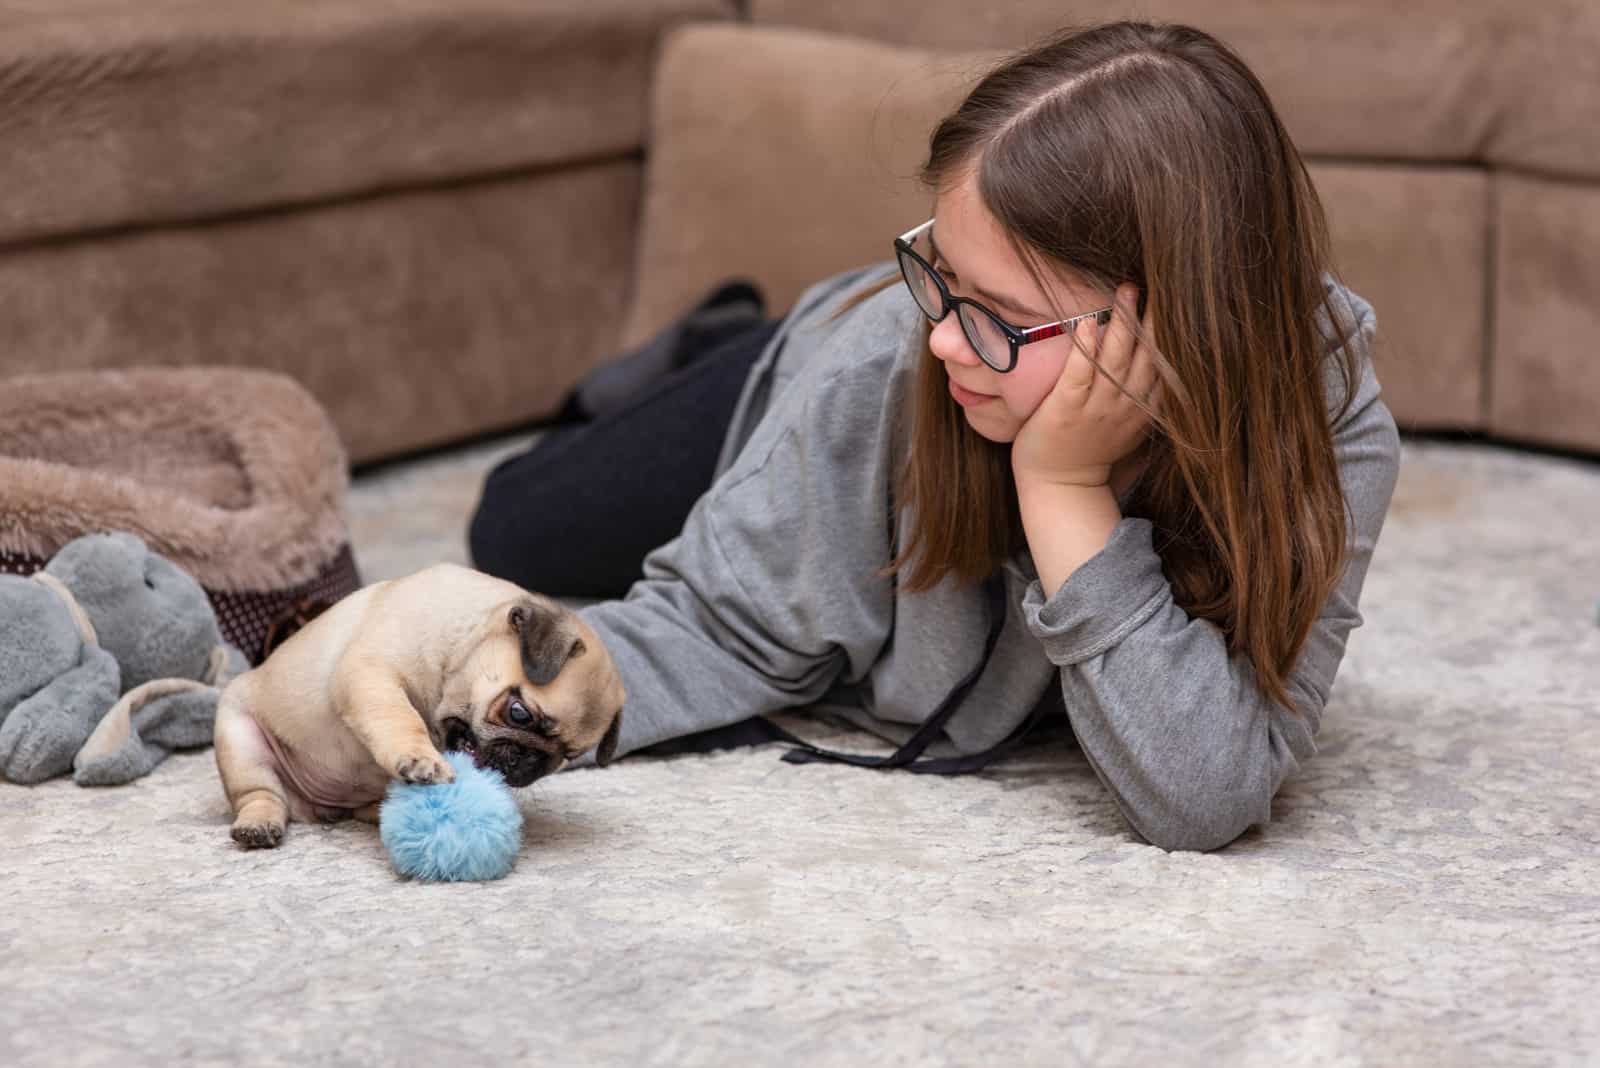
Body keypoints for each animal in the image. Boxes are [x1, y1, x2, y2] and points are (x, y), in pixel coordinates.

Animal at [206, 562, 617, 844]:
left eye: (568, 755)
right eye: (519, 713)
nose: (527, 759)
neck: (461, 639)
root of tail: (318, 808)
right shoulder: (371, 675)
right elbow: (400, 717)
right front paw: (420, 758)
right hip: (239, 740)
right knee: (260, 793)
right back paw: (258, 823)